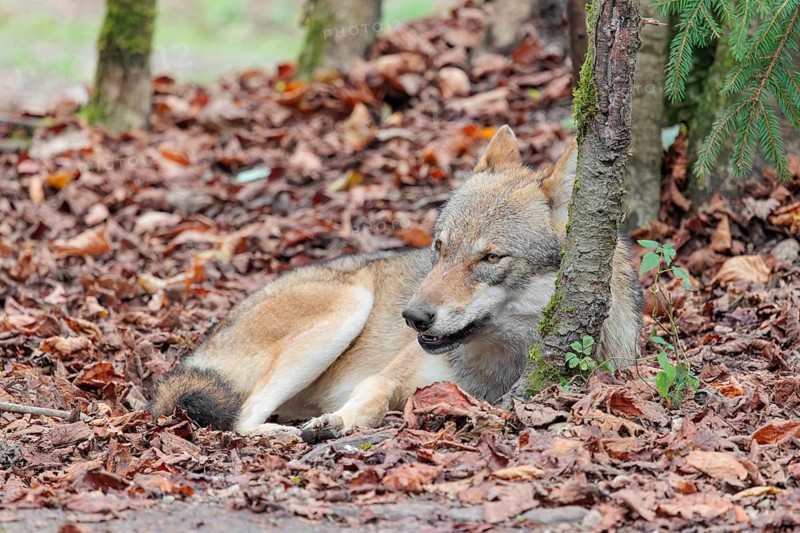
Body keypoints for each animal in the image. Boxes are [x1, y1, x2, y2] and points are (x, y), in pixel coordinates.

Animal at [151, 126, 643, 442]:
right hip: (348, 306)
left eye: (490, 258)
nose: (413, 316)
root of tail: (203, 343)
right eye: (440, 248)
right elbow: (371, 394)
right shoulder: (388, 376)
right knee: (240, 418)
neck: (500, 362)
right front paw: (338, 423)